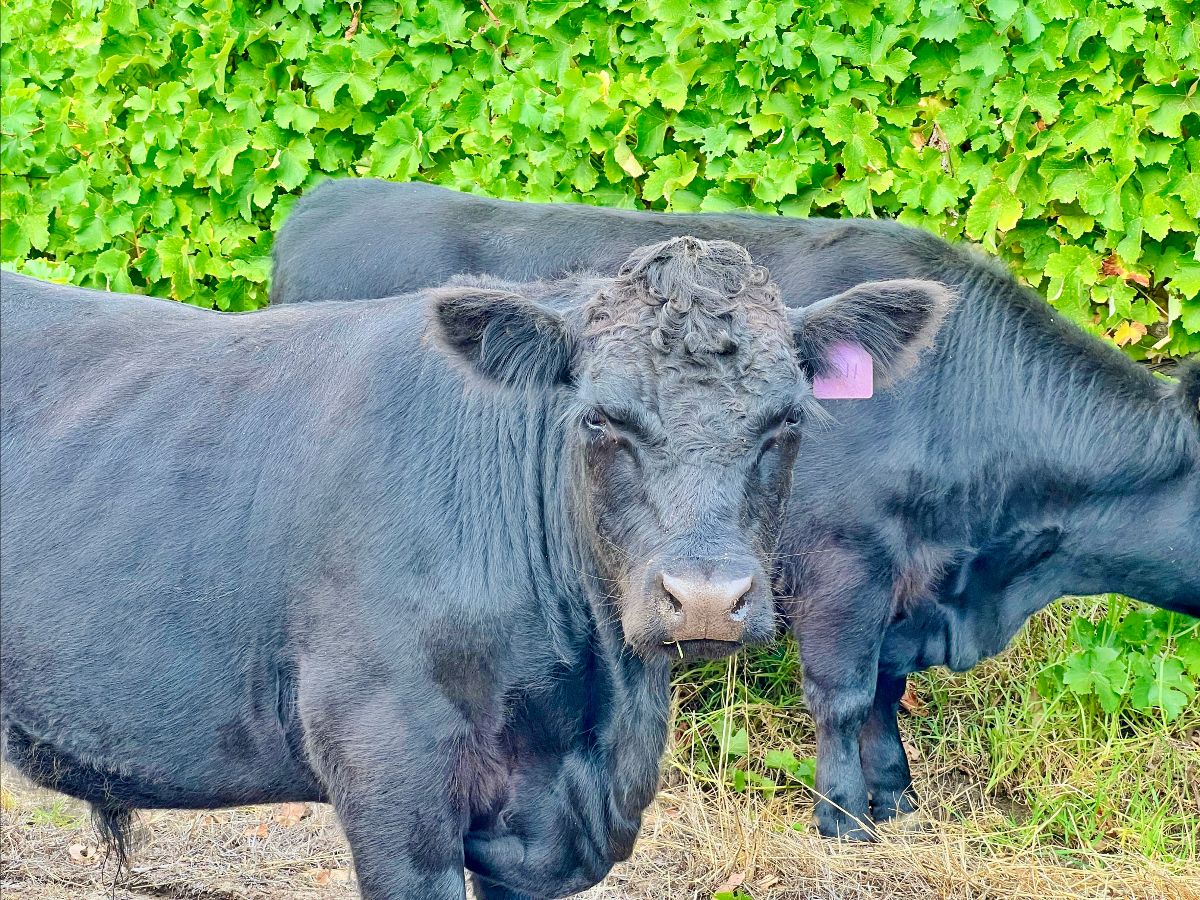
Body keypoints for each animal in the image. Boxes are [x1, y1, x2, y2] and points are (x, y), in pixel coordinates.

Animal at [271, 179, 1200, 841]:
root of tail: (326, 200)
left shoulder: (903, 587)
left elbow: (888, 689)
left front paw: (896, 797)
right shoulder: (844, 567)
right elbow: (846, 694)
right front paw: (845, 817)